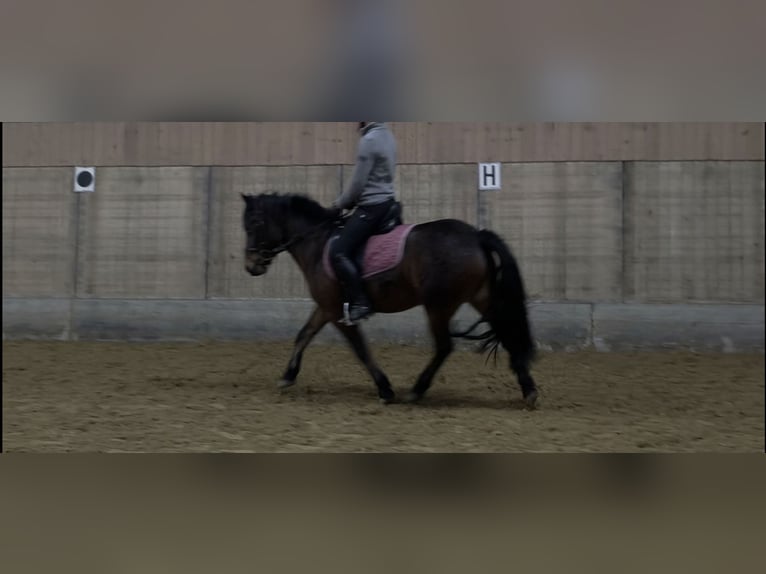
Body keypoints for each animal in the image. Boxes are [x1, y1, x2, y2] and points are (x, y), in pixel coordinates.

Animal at [242, 192, 539, 408]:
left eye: (254, 223)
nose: (251, 265)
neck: (318, 242)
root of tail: (476, 235)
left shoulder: (337, 311)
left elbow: (360, 349)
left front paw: (385, 389)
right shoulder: (326, 307)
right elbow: (303, 335)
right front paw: (287, 376)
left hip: (438, 305)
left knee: (444, 346)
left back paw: (417, 391)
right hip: (481, 297)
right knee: (507, 335)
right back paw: (529, 391)